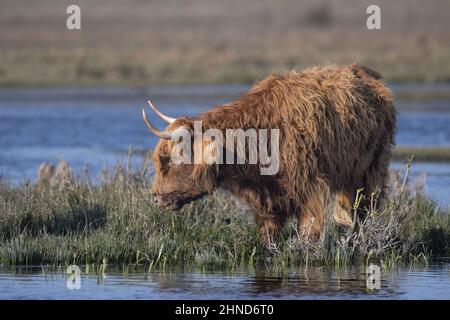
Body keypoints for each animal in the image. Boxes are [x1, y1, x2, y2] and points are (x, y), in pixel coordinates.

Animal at [142, 65, 396, 245]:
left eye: (171, 162)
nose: (155, 197)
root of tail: (366, 73)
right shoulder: (266, 199)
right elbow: (267, 236)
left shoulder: (311, 188)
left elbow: (308, 234)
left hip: (372, 170)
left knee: (365, 209)